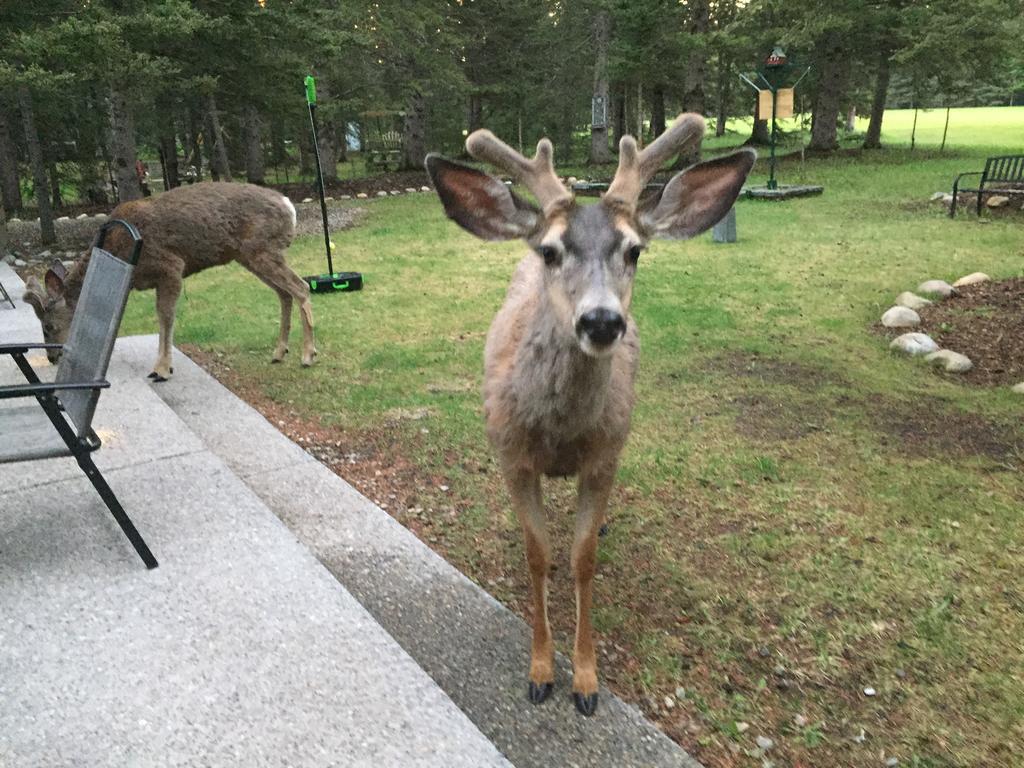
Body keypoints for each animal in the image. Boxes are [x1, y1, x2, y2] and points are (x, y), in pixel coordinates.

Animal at [24, 183, 311, 382]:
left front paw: (161, 369)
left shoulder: (170, 266)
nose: (51, 357)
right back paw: (279, 352)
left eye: (48, 326)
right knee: (285, 293)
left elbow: (165, 316)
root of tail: (289, 205)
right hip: (250, 256)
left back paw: (308, 355)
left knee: (302, 287)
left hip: (262, 250)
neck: (116, 247)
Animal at [423, 117, 753, 720]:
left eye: (635, 250)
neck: (559, 436)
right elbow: (538, 556)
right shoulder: (511, 455)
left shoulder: (605, 456)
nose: (601, 321)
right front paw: (539, 672)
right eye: (551, 251)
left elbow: (582, 559)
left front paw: (584, 679)